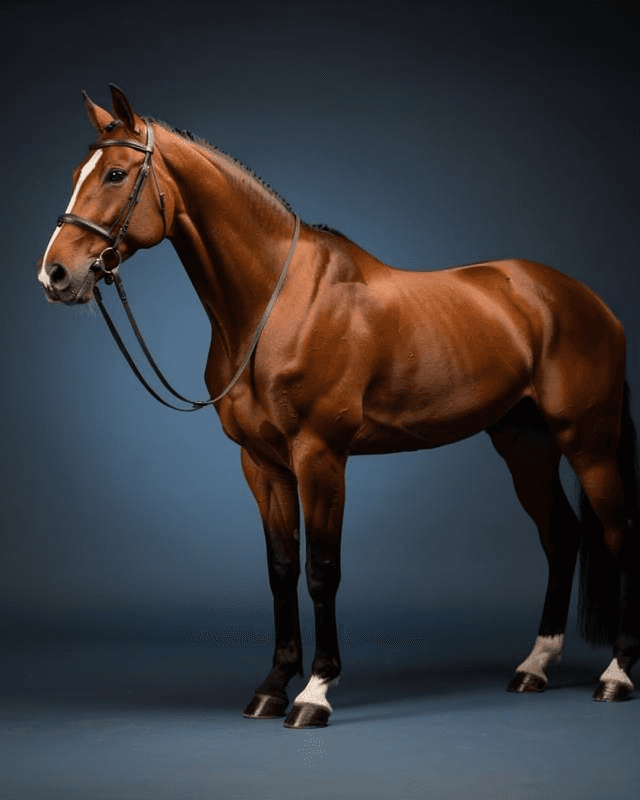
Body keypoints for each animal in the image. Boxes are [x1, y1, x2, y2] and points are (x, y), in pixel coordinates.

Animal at [37, 85, 639, 728]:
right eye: (75, 175)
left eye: (117, 174)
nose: (56, 274)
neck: (275, 303)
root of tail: (590, 302)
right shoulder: (262, 464)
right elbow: (281, 570)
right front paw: (273, 686)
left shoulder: (320, 456)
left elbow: (322, 571)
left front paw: (315, 692)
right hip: (524, 444)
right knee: (562, 535)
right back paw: (534, 666)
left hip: (588, 442)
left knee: (617, 532)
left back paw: (617, 674)